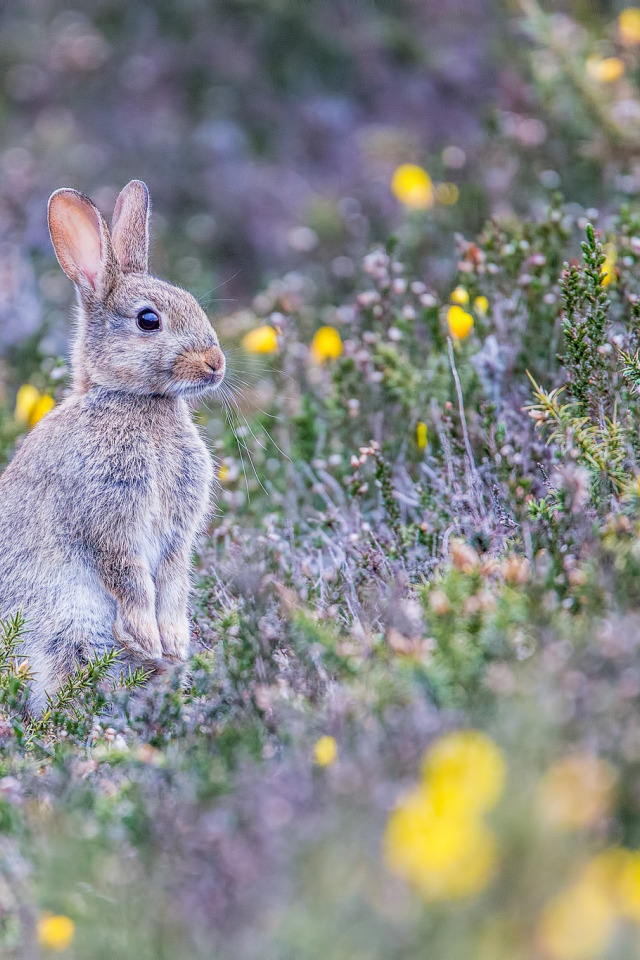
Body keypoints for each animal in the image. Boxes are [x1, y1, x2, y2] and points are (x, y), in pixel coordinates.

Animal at [0, 180, 225, 708]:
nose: (216, 362)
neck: (137, 401)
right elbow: (130, 579)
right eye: (148, 320)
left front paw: (173, 641)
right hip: (68, 633)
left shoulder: (177, 537)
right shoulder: (109, 519)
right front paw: (146, 636)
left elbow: (173, 580)